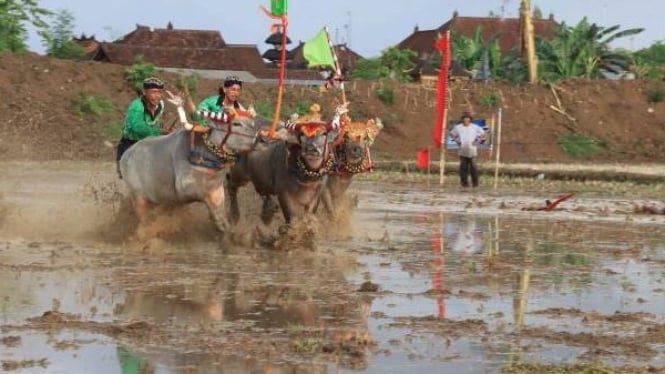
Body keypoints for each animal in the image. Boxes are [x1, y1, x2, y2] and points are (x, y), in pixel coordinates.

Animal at [118, 111, 258, 232]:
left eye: (252, 122)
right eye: (236, 123)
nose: (258, 137)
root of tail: (125, 156)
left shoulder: (217, 188)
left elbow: (220, 207)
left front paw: (224, 226)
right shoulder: (185, 187)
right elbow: (208, 201)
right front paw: (216, 219)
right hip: (138, 198)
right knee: (144, 219)